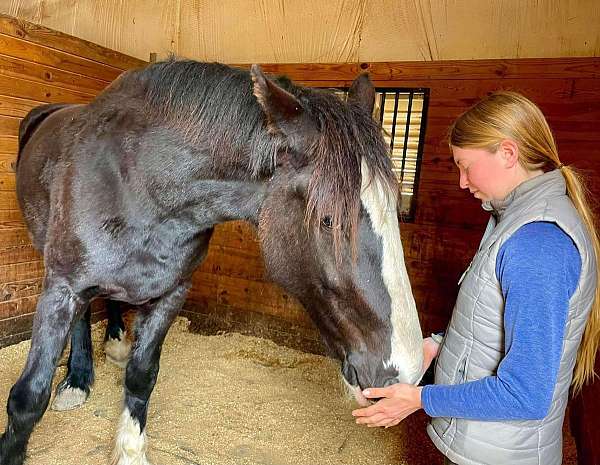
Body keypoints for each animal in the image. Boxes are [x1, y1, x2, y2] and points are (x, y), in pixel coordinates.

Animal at [1, 59, 422, 464]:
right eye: (329, 220)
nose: (406, 373)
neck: (139, 181)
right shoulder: (62, 289)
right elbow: (28, 397)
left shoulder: (172, 293)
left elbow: (142, 376)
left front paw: (131, 451)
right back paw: (77, 379)